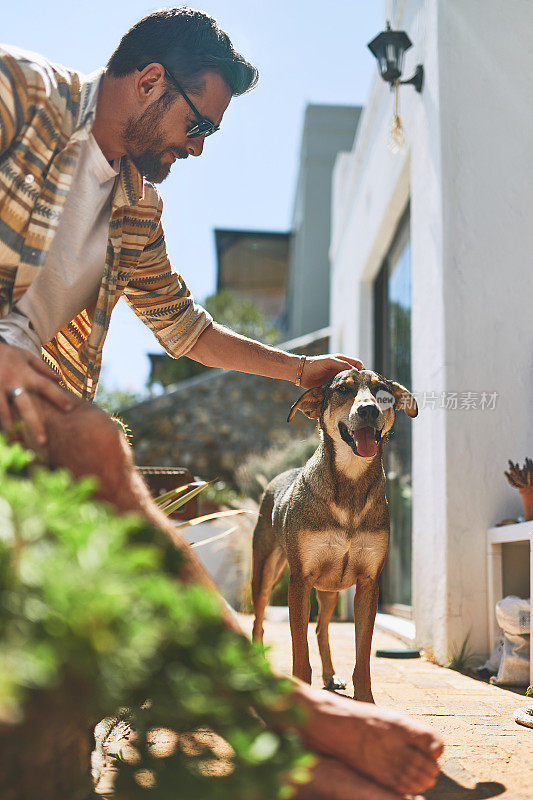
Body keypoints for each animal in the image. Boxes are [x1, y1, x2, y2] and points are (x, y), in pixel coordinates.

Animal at [251, 368, 418, 700]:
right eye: (343, 389)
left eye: (382, 392)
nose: (369, 410)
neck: (351, 482)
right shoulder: (300, 581)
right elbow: (299, 652)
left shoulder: (368, 584)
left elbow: (362, 654)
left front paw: (364, 700)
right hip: (265, 573)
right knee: (258, 621)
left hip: (329, 590)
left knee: (321, 629)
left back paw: (330, 676)